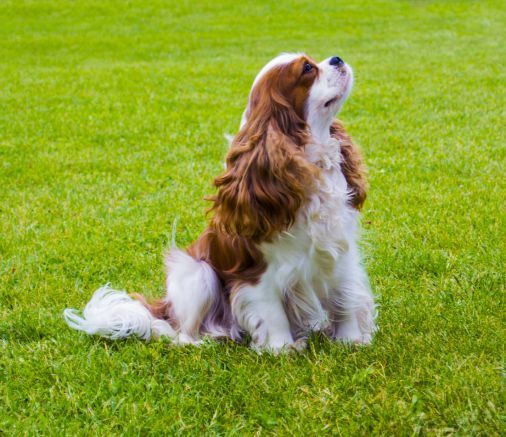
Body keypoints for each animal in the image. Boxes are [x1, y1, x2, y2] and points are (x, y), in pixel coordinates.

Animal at [64, 52, 376, 352]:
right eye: (308, 69)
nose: (336, 58)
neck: (310, 166)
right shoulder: (258, 275)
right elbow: (273, 313)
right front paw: (282, 349)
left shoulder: (341, 255)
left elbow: (345, 299)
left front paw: (350, 341)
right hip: (196, 272)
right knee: (179, 332)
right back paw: (205, 339)